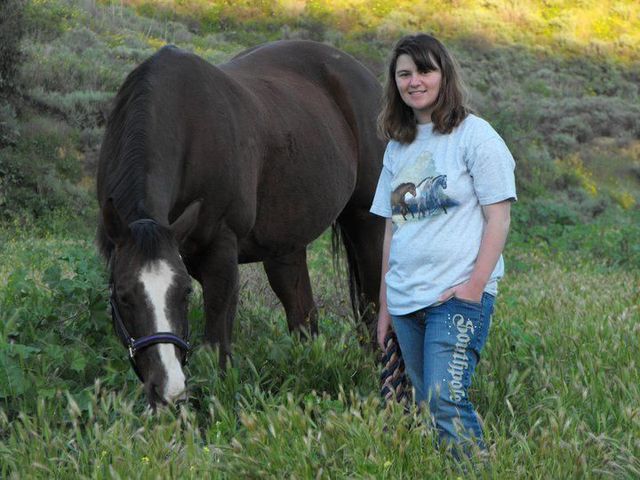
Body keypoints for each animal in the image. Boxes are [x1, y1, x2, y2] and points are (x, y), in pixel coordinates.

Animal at [96, 40, 385, 407]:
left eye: (185, 292)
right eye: (122, 296)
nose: (169, 389)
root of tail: (363, 75)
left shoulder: (221, 254)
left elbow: (216, 348)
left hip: (366, 222)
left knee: (372, 310)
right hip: (286, 248)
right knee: (304, 319)